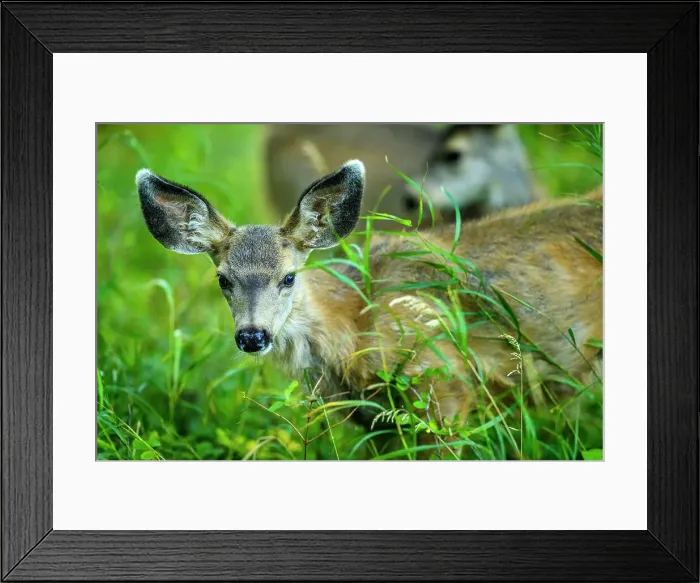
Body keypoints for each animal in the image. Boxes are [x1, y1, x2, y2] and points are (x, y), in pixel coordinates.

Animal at [137, 160, 602, 458]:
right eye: (223, 279)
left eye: (288, 277)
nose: (253, 336)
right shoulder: (377, 420)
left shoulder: (446, 384)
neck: (353, 325)